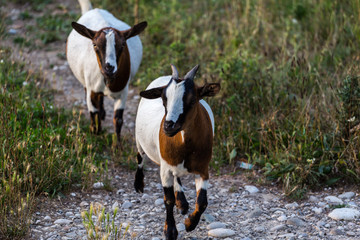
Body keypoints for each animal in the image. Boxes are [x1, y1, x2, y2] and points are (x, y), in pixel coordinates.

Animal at [67, 0, 147, 142]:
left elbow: (118, 120)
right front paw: (95, 135)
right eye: (95, 45)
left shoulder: (123, 93)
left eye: (122, 45)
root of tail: (94, 10)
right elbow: (94, 115)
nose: (109, 68)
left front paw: (117, 144)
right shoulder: (92, 89)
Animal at [134, 64, 221, 240]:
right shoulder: (165, 169)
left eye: (192, 100)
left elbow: (202, 202)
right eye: (163, 99)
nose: (168, 126)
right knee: (140, 157)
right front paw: (170, 231)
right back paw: (139, 185)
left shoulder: (203, 169)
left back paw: (182, 202)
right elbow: (168, 200)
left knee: (177, 178)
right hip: (139, 139)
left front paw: (189, 223)